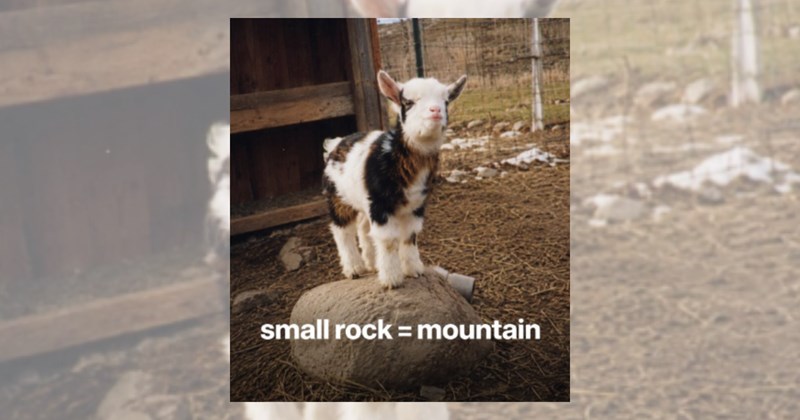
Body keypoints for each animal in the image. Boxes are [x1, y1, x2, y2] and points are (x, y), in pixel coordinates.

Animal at [323, 70, 467, 288]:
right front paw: (391, 279)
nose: (435, 111)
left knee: (363, 228)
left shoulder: (416, 204)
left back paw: (371, 262)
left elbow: (409, 235)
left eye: (446, 101)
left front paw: (414, 269)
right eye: (408, 102)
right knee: (342, 231)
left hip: (364, 201)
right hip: (338, 198)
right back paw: (354, 268)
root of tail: (335, 144)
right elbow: (389, 240)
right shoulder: (381, 204)